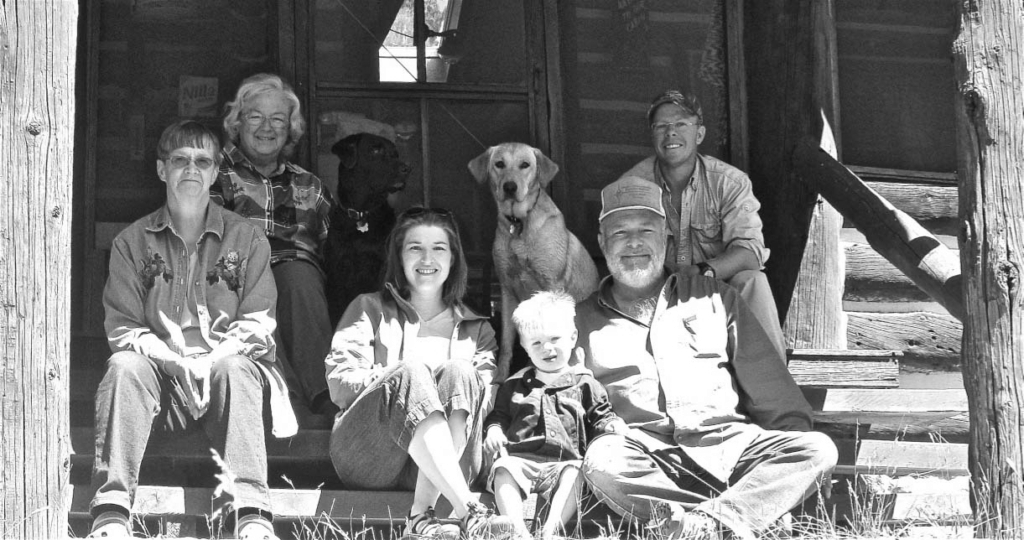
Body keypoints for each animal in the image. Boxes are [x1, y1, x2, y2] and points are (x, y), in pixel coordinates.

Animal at [325, 133, 409, 327]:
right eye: (375, 150)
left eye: (395, 153)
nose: (407, 169)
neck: (363, 214)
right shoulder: (336, 274)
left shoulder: (382, 271)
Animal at [466, 141, 598, 383]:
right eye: (499, 164)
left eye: (525, 165)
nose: (509, 186)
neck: (519, 223)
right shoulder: (507, 290)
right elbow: (506, 342)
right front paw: (500, 377)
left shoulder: (552, 283)